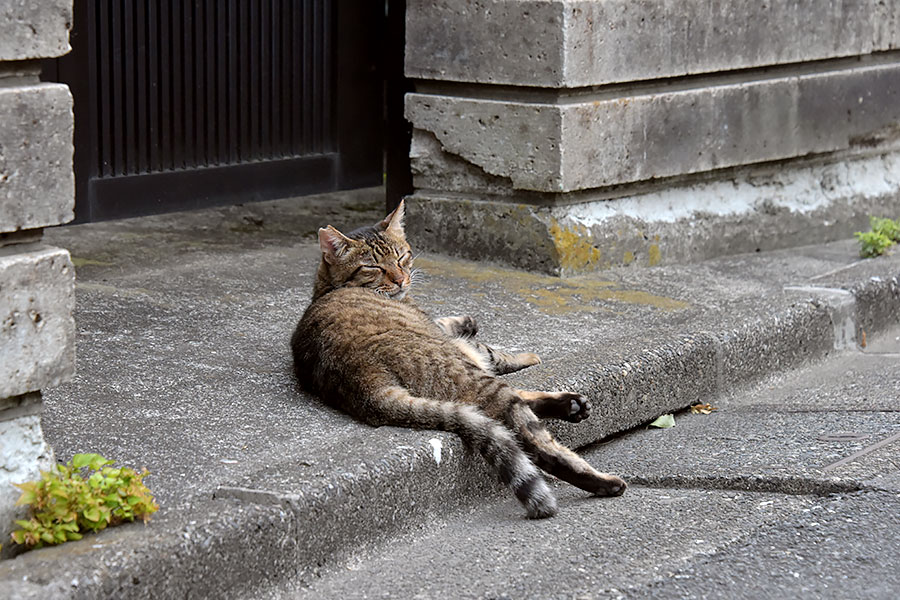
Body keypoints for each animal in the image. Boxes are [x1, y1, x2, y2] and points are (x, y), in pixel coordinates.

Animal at [290, 199, 624, 516]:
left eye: (401, 257)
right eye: (373, 267)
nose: (400, 280)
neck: (325, 288)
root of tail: (363, 381)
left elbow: (459, 329)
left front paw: (467, 321)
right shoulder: (453, 339)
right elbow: (491, 350)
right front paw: (526, 355)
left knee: (506, 405)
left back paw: (572, 404)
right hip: (473, 378)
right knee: (531, 435)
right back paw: (602, 480)